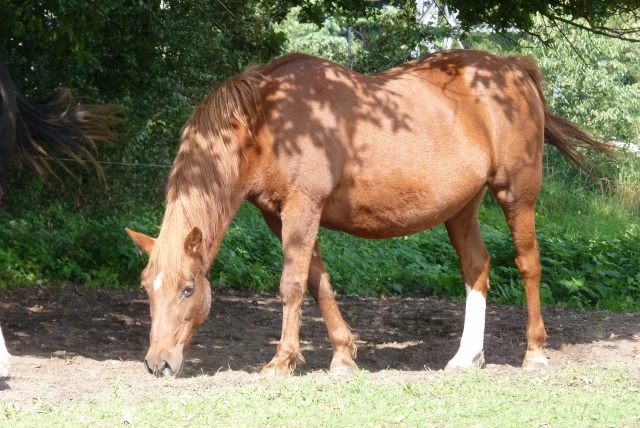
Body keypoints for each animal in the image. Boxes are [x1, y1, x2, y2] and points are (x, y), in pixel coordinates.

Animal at [125, 50, 608, 376]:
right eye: (148, 287)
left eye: (188, 290)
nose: (157, 363)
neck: (266, 121)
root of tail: (512, 68)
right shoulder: (280, 216)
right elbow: (318, 282)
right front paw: (342, 356)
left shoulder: (303, 207)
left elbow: (292, 284)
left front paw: (282, 362)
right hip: (461, 208)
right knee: (477, 267)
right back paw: (465, 357)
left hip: (516, 196)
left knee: (528, 264)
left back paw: (535, 352)